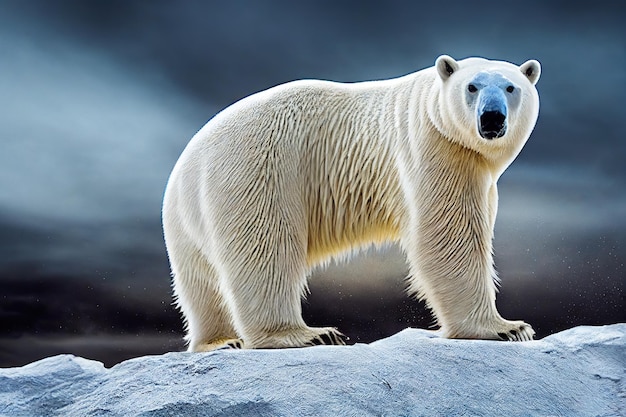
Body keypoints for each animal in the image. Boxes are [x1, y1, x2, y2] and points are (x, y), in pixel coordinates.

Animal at [162, 53, 540, 350]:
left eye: (511, 87)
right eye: (472, 87)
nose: (492, 117)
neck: (429, 105)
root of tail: (190, 158)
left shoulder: (476, 169)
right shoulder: (434, 145)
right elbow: (449, 236)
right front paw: (507, 328)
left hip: (184, 219)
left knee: (200, 282)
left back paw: (220, 340)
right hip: (259, 168)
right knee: (265, 249)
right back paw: (307, 334)